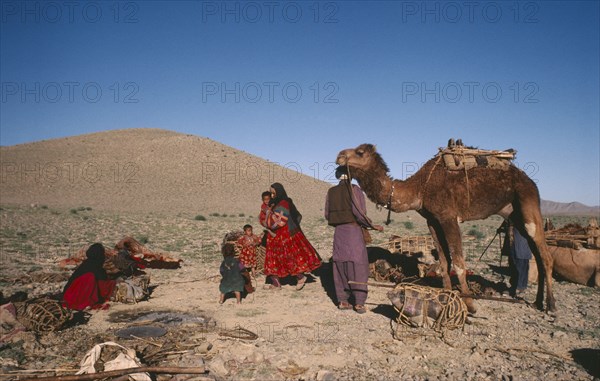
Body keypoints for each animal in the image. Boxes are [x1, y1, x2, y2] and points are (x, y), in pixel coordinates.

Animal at [338, 142, 556, 312]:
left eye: (359, 152)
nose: (339, 156)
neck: (420, 189)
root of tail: (529, 180)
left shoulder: (449, 217)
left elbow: (458, 262)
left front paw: (470, 305)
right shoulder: (433, 221)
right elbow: (444, 262)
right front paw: (447, 296)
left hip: (527, 201)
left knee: (545, 255)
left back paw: (551, 305)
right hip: (513, 213)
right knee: (537, 254)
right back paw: (538, 302)